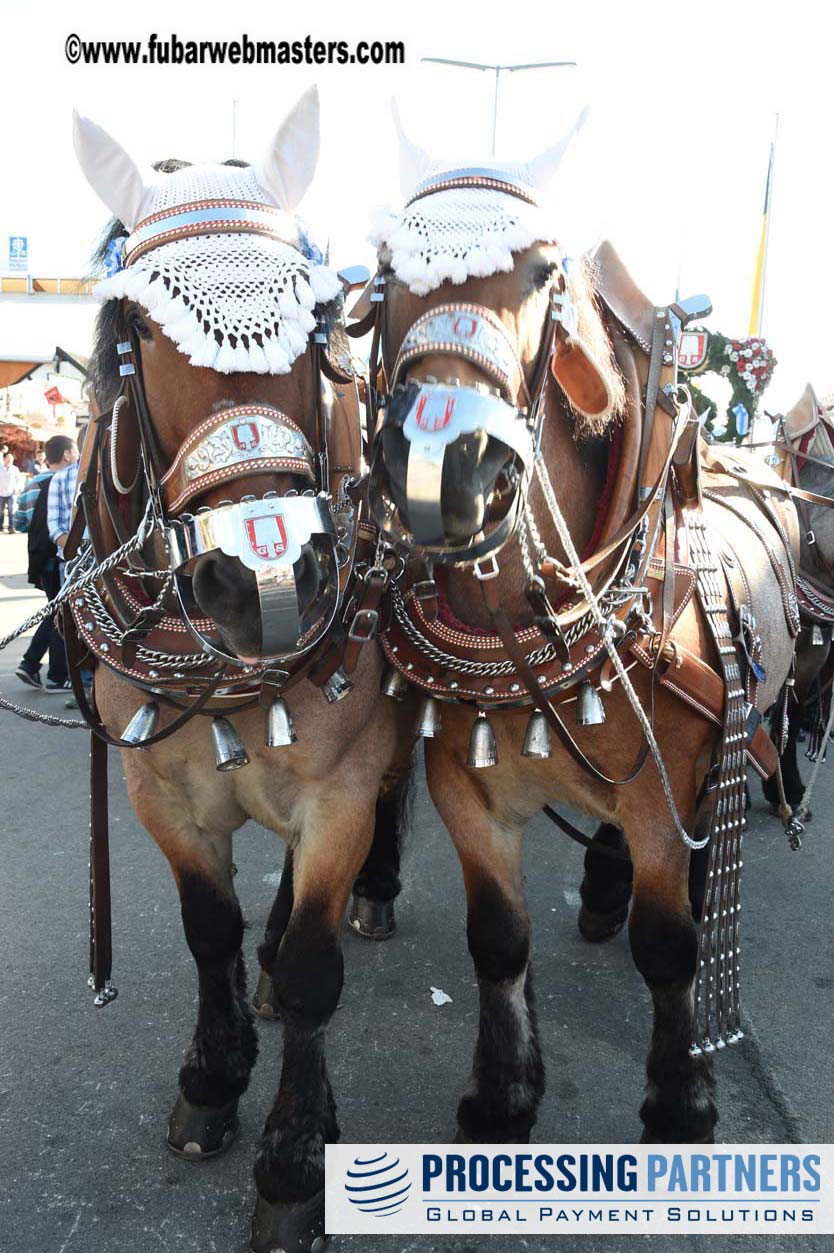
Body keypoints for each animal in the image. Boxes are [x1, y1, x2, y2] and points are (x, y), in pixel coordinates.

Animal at [72, 90, 408, 1253]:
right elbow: (208, 927)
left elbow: (314, 971)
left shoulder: (340, 783)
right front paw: (213, 1079)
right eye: (136, 332)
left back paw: (376, 893)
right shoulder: (156, 787)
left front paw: (297, 1159)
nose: (264, 571)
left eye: (317, 323)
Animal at [363, 124, 791, 1147]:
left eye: (541, 271)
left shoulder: (667, 789)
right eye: (387, 271)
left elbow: (670, 948)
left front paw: (681, 1102)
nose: (444, 464)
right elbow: (497, 938)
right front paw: (503, 1093)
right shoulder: (467, 790)